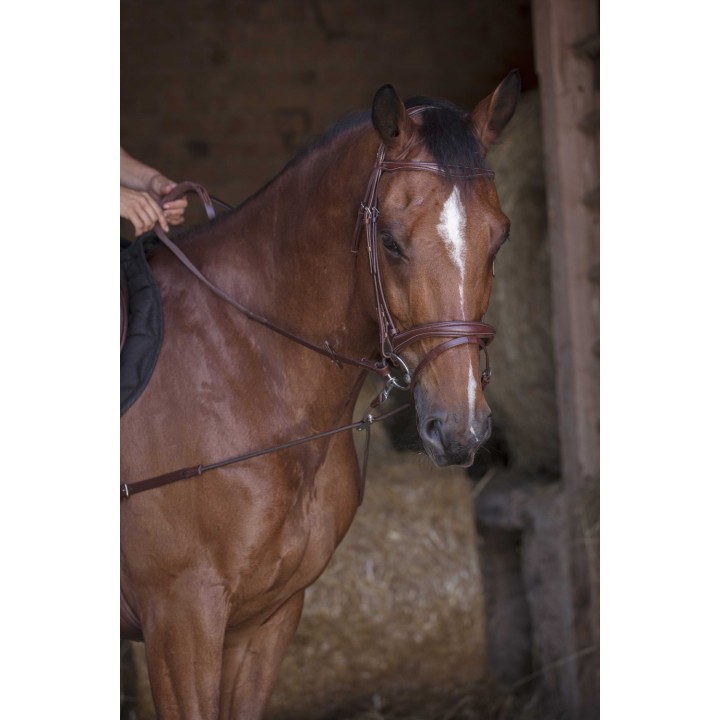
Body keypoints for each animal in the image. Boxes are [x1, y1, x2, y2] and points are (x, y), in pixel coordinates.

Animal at [121, 70, 520, 719]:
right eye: (391, 241)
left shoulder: (268, 619)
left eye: (500, 239)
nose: (460, 430)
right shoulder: (180, 619)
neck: (249, 370)